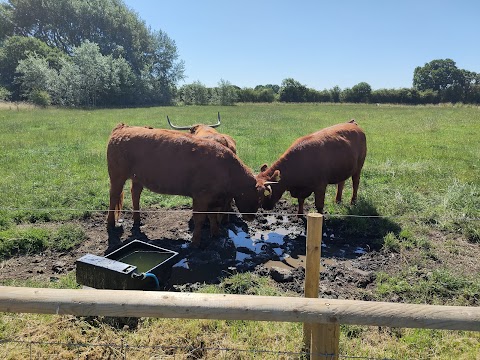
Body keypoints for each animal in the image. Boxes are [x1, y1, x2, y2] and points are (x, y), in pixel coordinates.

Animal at [105, 124, 278, 248]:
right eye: (254, 196)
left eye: (262, 197)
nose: (251, 217)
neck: (226, 168)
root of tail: (123, 128)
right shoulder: (201, 197)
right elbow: (200, 219)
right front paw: (195, 243)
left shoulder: (214, 200)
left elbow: (213, 217)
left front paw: (215, 234)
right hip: (117, 175)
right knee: (114, 195)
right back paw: (111, 223)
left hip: (137, 177)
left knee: (135, 194)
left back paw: (137, 219)